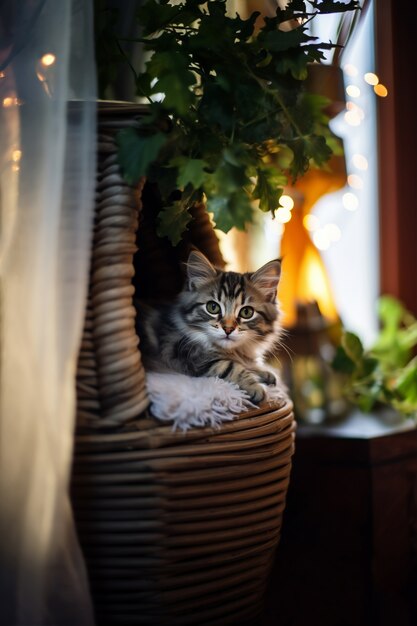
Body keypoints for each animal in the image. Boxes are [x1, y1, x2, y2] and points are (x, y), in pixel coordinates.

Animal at [135, 250, 282, 402]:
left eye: (246, 312)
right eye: (213, 307)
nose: (228, 329)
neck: (232, 351)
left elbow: (248, 364)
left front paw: (263, 372)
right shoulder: (192, 355)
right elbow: (231, 366)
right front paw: (255, 386)